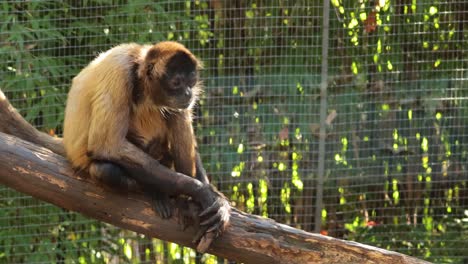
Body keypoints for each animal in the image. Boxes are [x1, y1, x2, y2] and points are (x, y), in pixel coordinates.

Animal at [62, 41, 230, 243]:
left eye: (191, 80)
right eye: (176, 82)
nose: (188, 93)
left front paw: (217, 198)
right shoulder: (120, 71)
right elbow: (106, 145)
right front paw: (199, 191)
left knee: (176, 114)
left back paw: (185, 204)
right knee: (105, 170)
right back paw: (159, 193)